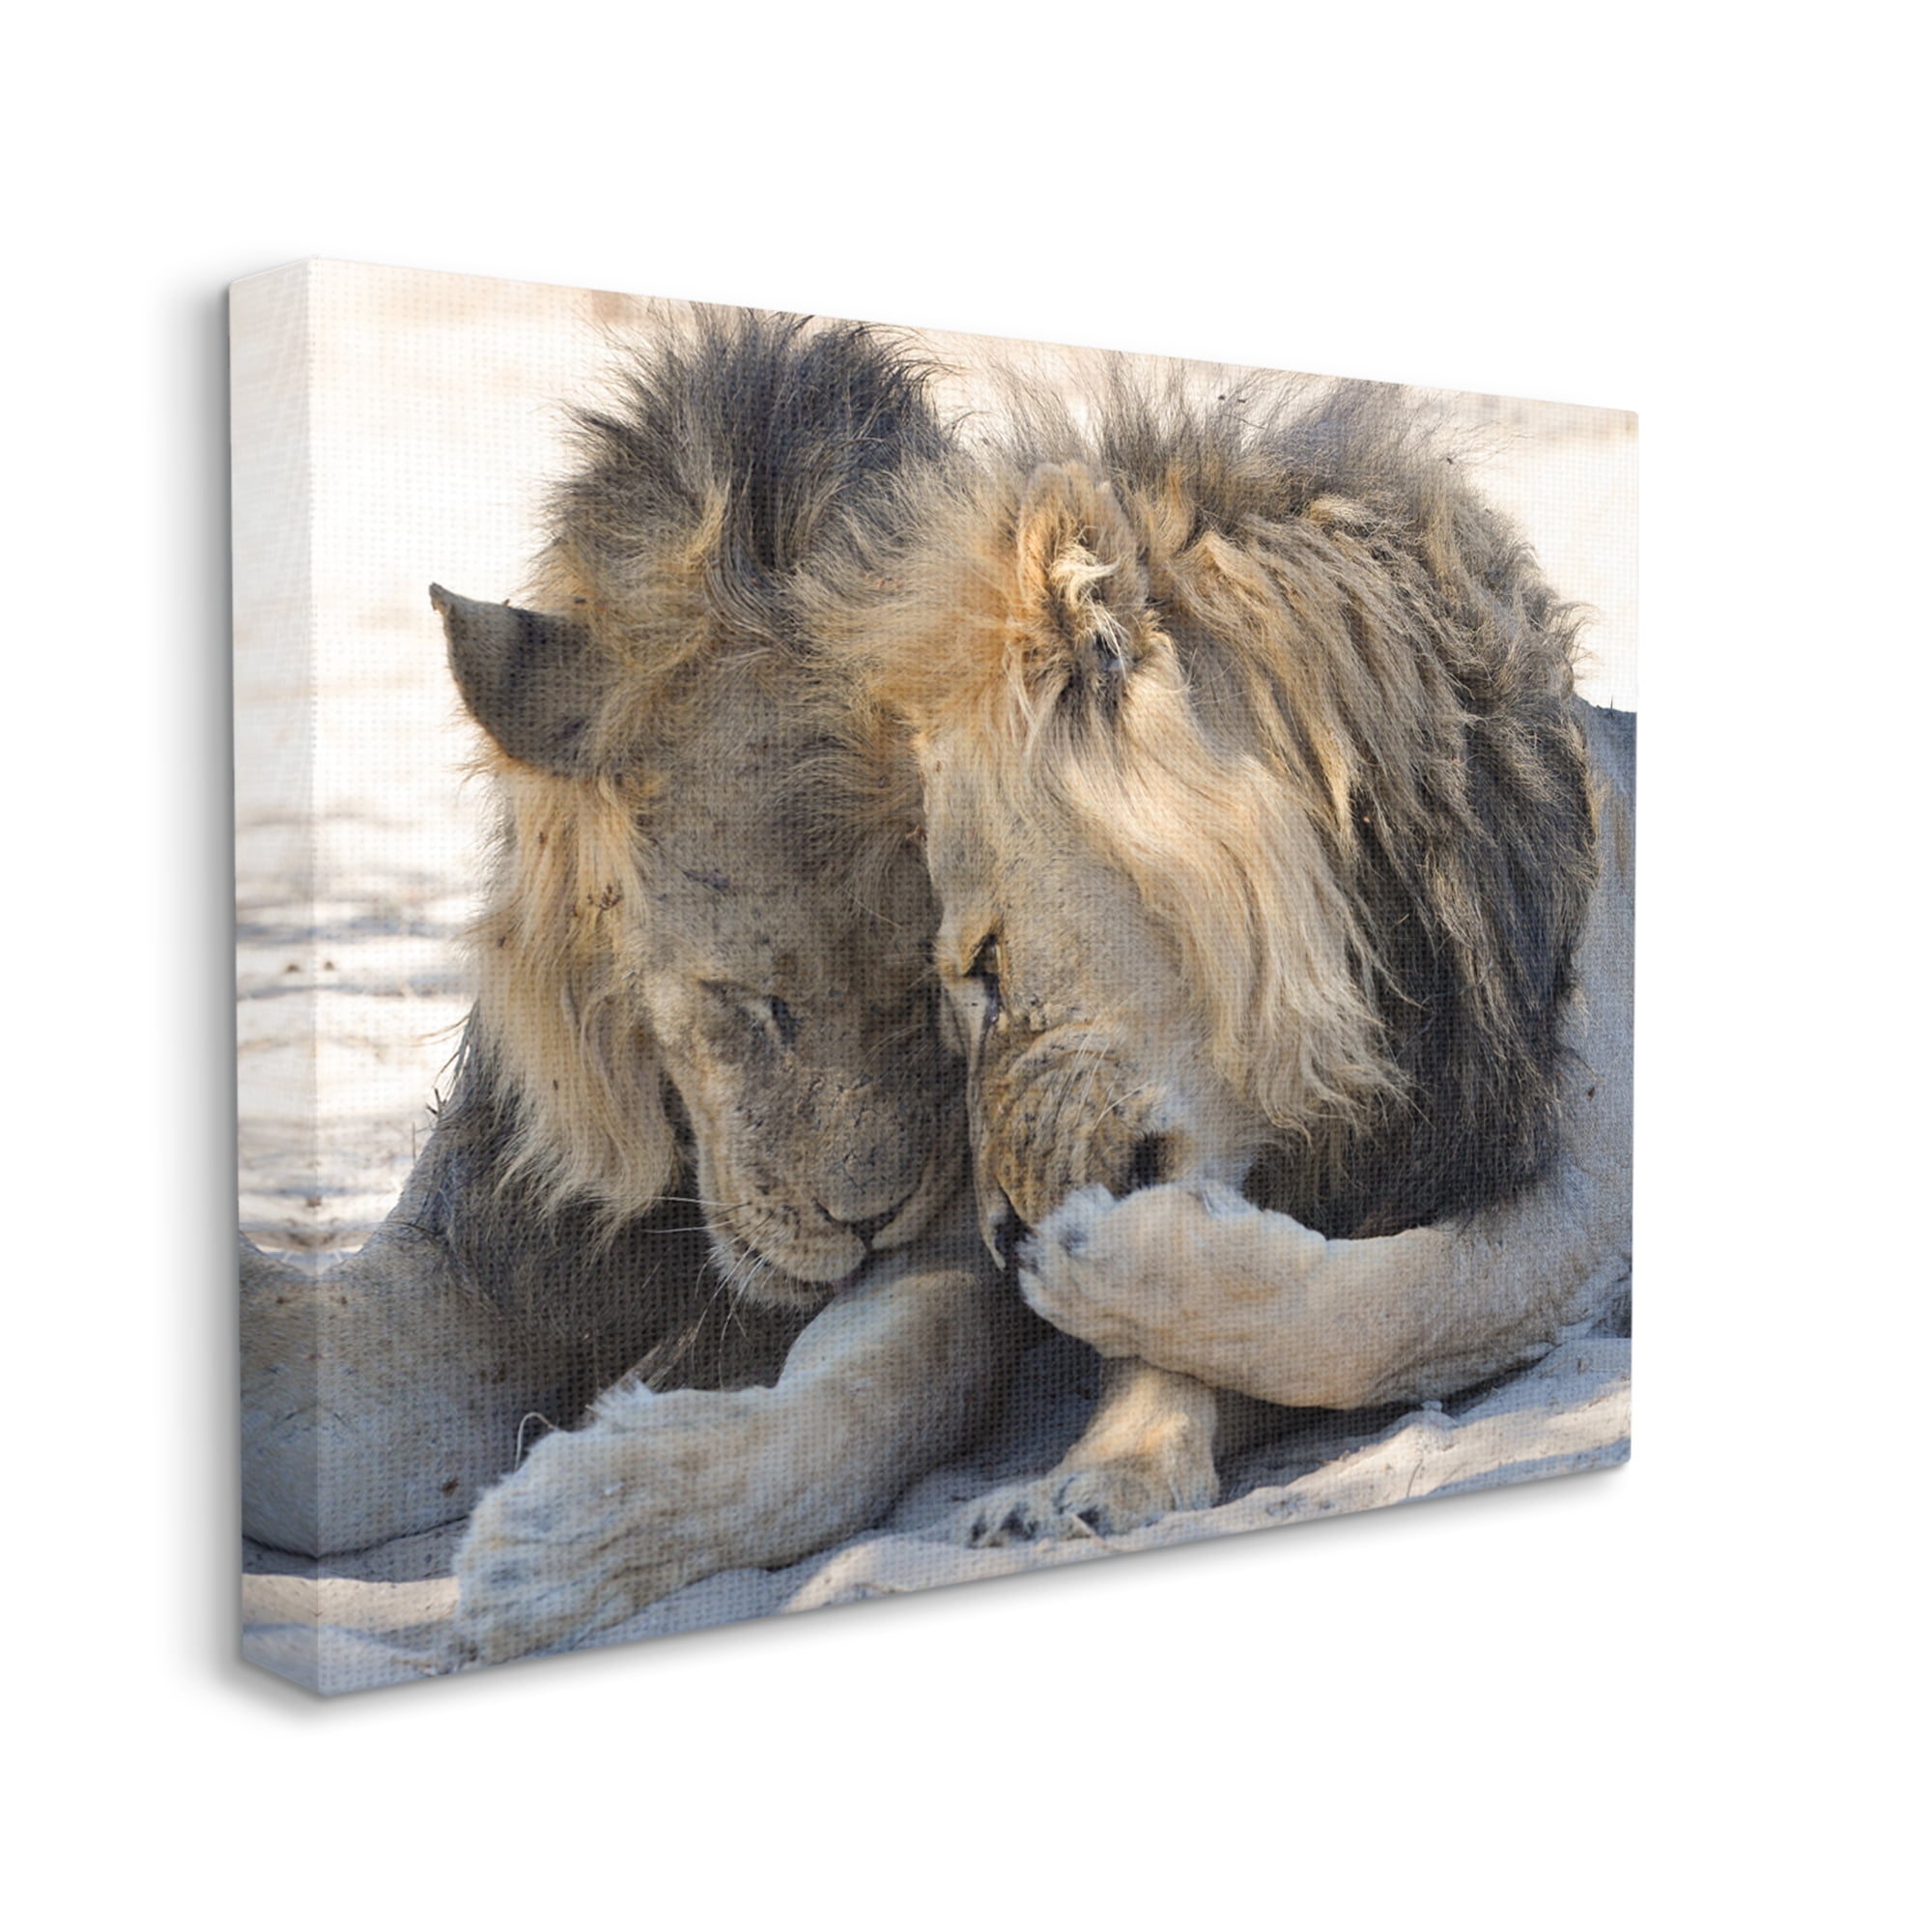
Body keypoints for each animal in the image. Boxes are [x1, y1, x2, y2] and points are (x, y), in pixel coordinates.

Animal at [241, 310, 1016, 1670]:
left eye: (936, 988)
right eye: (748, 998)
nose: (867, 1219)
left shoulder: (960, 1237)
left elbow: (883, 1387)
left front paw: (569, 1540)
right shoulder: (484, 1257)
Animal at [840, 370, 1634, 1543]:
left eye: (984, 963)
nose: (996, 1237)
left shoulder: (1592, 1183)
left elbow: (1384, 1308)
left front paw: (1095, 1266)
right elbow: (1202, 1347)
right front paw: (1108, 1465)